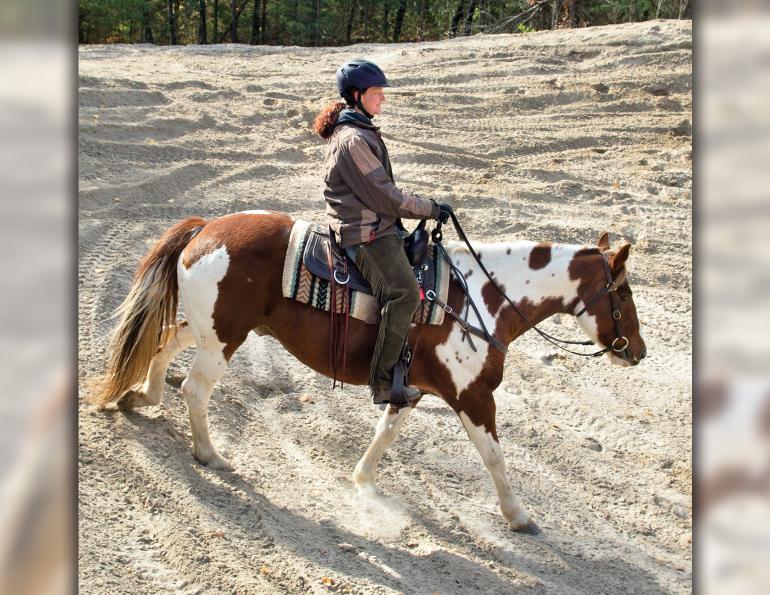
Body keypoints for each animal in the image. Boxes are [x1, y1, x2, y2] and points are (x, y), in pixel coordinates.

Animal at [92, 210, 646, 534]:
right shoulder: (473, 397)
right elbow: (494, 457)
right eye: (623, 293)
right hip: (224, 339)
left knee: (166, 339)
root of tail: (205, 227)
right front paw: (519, 517)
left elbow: (386, 432)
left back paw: (141, 397)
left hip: (212, 329)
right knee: (195, 389)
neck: (483, 297)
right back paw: (209, 454)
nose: (637, 351)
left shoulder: (411, 389)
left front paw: (362, 480)